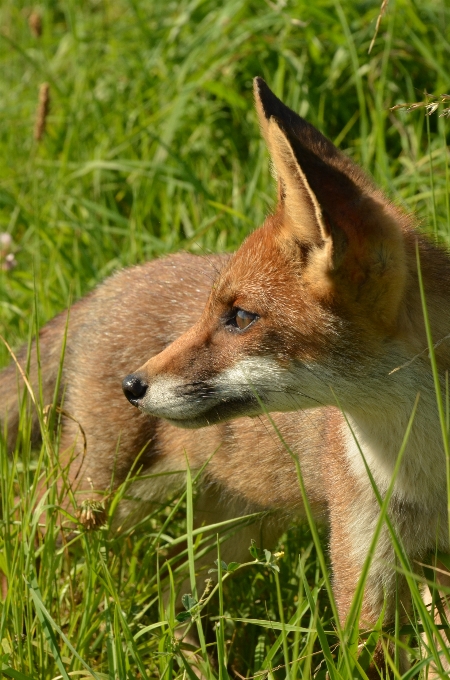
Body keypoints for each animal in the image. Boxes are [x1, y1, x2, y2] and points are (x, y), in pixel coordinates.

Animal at [2, 77, 450, 672]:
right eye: (216, 311)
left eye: (240, 316)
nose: (132, 386)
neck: (428, 466)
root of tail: (108, 285)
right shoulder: (364, 575)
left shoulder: (430, 566)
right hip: (96, 500)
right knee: (25, 543)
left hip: (237, 527)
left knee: (169, 588)